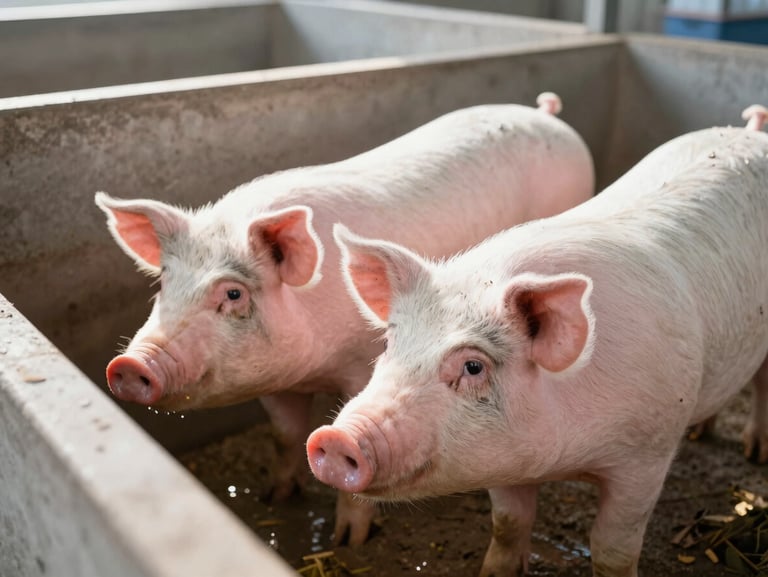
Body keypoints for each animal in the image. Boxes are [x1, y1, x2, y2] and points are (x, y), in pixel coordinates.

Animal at [95, 92, 594, 546]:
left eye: (233, 293)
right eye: (164, 278)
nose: (129, 364)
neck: (309, 366)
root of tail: (547, 115)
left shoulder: (360, 369)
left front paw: (347, 542)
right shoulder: (272, 381)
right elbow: (285, 435)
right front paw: (274, 498)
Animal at [307, 104, 768, 577]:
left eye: (473, 366)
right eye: (389, 344)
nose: (335, 438)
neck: (566, 458)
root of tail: (751, 132)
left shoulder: (646, 455)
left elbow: (613, 550)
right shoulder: (503, 464)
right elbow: (509, 522)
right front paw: (493, 572)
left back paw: (755, 454)